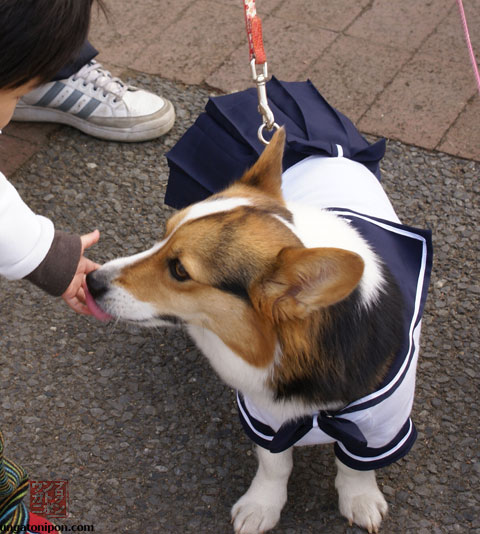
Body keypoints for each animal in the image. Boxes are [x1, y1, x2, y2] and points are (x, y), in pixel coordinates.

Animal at [85, 130, 432, 534]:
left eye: (180, 270)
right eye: (163, 235)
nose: (91, 281)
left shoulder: (381, 425)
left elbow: (355, 465)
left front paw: (360, 500)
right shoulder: (264, 416)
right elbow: (274, 464)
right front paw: (261, 506)